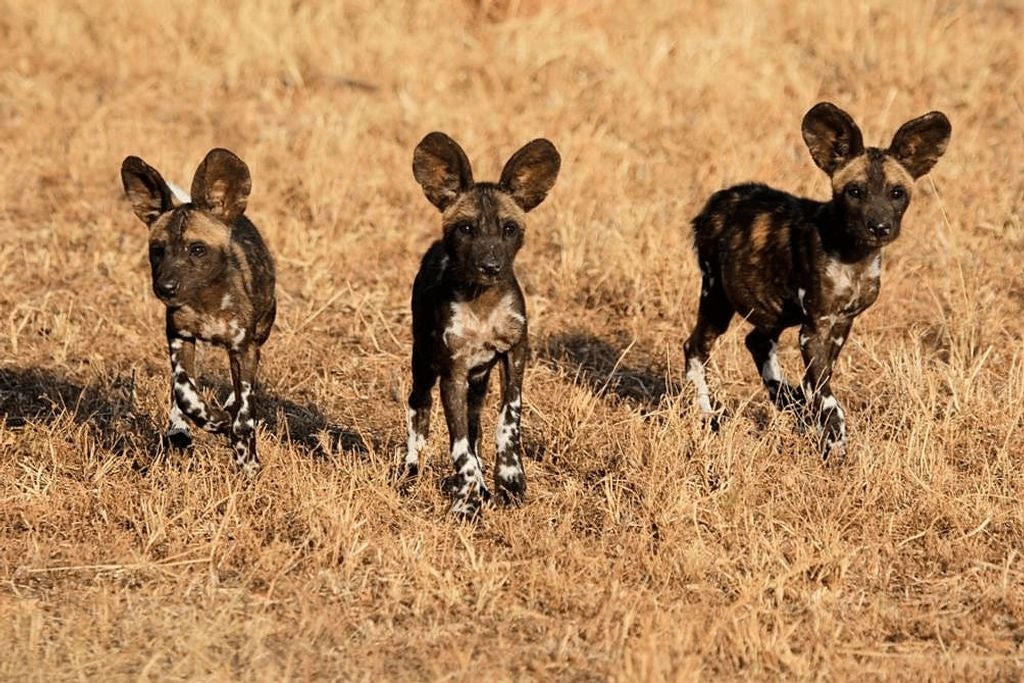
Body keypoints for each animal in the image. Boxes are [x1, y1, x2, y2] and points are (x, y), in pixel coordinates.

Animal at [119, 148, 276, 475]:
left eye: (197, 249)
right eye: (158, 250)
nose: (165, 287)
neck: (206, 301)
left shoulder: (243, 348)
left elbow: (245, 413)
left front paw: (247, 461)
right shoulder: (179, 338)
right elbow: (184, 391)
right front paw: (208, 421)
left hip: (260, 334)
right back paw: (179, 430)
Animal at [397, 132, 561, 518]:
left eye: (509, 229)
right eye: (466, 228)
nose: (490, 266)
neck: (482, 302)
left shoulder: (514, 355)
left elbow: (507, 423)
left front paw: (510, 481)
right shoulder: (452, 373)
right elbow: (459, 450)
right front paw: (466, 504)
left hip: (477, 384)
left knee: (475, 431)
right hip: (424, 369)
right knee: (419, 415)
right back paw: (410, 475)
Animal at [684, 102, 954, 458]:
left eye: (896, 193)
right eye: (855, 192)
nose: (880, 227)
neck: (854, 257)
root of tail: (719, 199)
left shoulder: (840, 325)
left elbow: (816, 385)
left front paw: (810, 419)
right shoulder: (814, 329)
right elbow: (826, 396)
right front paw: (834, 441)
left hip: (775, 311)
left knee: (757, 342)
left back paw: (785, 398)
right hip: (717, 301)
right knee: (696, 348)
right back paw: (708, 413)